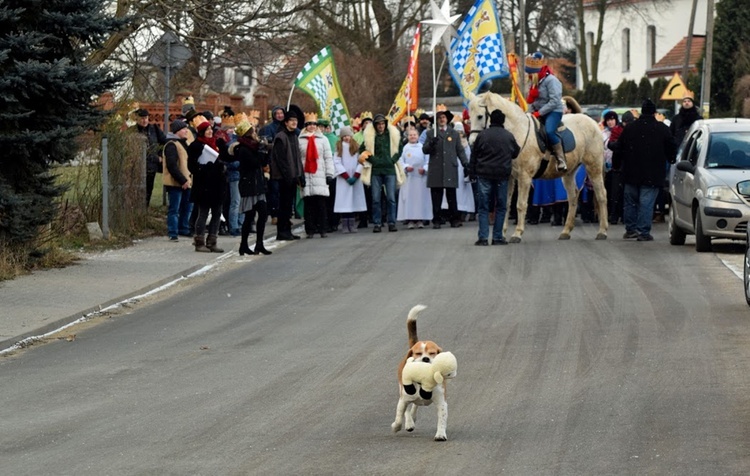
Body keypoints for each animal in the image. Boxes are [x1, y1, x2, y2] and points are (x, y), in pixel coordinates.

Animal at [394, 306, 452, 440]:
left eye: (432, 353)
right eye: (418, 353)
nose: (425, 358)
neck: (423, 382)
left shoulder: (441, 402)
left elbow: (442, 420)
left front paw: (440, 434)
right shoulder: (403, 399)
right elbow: (399, 416)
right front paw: (396, 426)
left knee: (415, 406)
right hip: (403, 391)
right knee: (407, 410)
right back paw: (409, 423)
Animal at [470, 91, 612, 244]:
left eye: (480, 116)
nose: (472, 143)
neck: (518, 131)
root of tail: (592, 122)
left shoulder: (525, 177)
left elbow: (520, 204)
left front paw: (517, 233)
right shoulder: (508, 177)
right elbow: (505, 204)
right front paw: (501, 234)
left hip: (594, 167)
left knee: (601, 195)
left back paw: (602, 231)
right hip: (569, 173)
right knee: (573, 197)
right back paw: (566, 231)